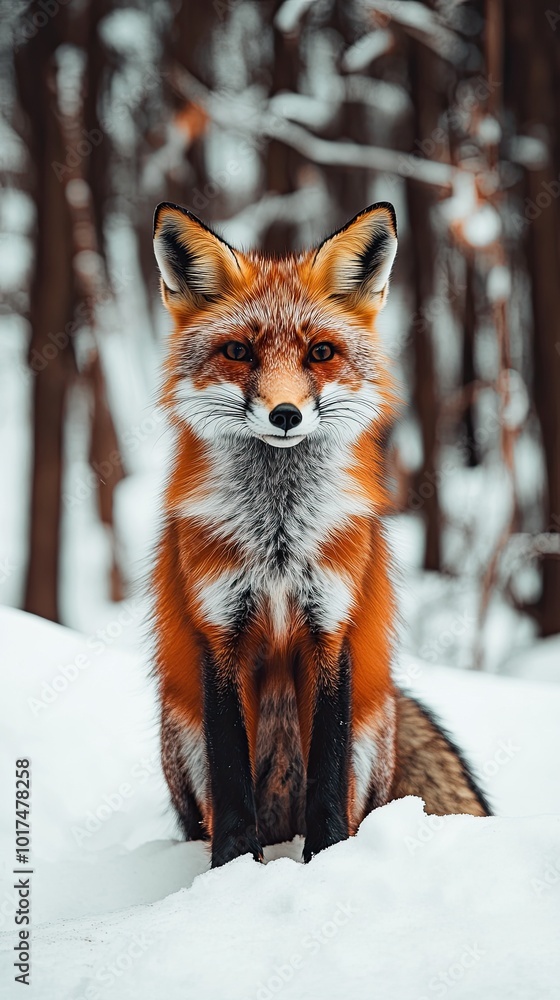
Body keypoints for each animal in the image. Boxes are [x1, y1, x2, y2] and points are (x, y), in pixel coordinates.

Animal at [151, 200, 490, 868]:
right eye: (238, 351)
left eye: (321, 352)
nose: (286, 414)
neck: (278, 539)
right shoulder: (218, 634)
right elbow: (233, 786)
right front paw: (232, 871)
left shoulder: (331, 627)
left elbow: (327, 779)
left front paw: (327, 861)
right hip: (183, 733)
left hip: (369, 728)